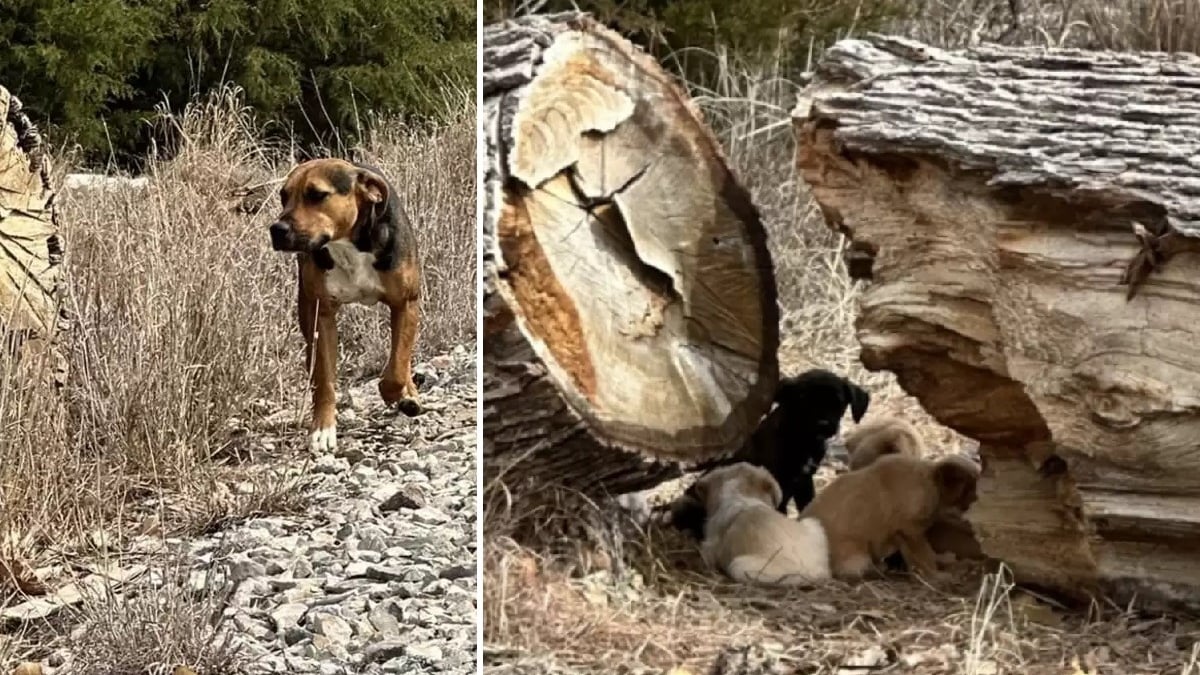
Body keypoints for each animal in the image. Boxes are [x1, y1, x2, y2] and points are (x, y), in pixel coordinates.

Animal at [270, 157, 424, 449]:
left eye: (317, 195)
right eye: (283, 197)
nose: (277, 229)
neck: (348, 245)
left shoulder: (405, 303)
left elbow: (397, 367)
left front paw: (397, 394)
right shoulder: (321, 316)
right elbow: (325, 378)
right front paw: (322, 428)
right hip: (306, 310)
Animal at [662, 367, 868, 535]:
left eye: (838, 402)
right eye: (803, 401)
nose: (823, 424)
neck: (802, 439)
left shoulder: (804, 481)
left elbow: (807, 504)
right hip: (687, 502)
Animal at [796, 449, 974, 576]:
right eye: (969, 489)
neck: (929, 481)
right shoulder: (909, 531)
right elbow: (924, 556)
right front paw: (939, 574)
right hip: (857, 555)